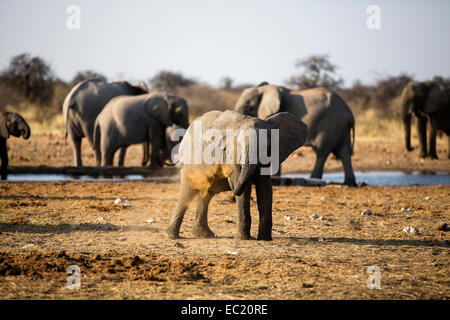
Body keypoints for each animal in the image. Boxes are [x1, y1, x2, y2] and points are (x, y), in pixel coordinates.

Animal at [165, 110, 310, 240]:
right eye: (239, 145)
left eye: (267, 146)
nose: (232, 188)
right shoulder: (230, 156)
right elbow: (245, 191)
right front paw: (244, 239)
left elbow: (265, 190)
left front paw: (265, 239)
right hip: (190, 161)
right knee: (188, 191)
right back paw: (172, 236)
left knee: (206, 194)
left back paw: (203, 235)